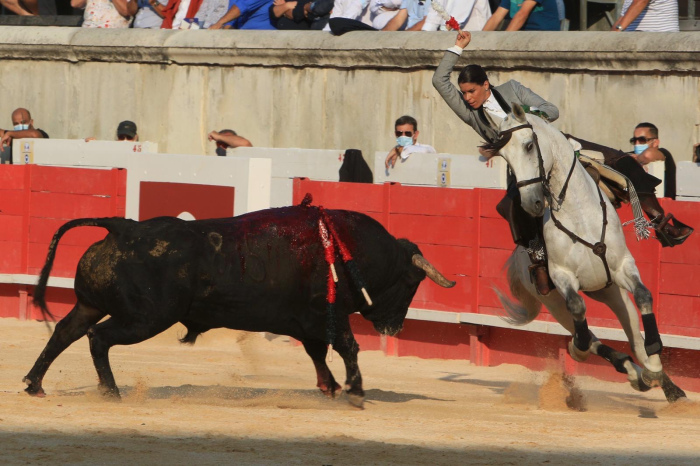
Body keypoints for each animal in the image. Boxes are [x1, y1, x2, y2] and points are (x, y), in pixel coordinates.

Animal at [24, 203, 454, 404]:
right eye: (411, 282)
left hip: (92, 304)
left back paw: (34, 385)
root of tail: (122, 227)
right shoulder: (326, 315)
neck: (346, 248)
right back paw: (111, 392)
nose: (393, 326)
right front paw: (354, 390)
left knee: (65, 332)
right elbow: (347, 347)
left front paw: (330, 387)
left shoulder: (307, 322)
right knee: (98, 338)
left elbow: (318, 353)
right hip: (145, 318)